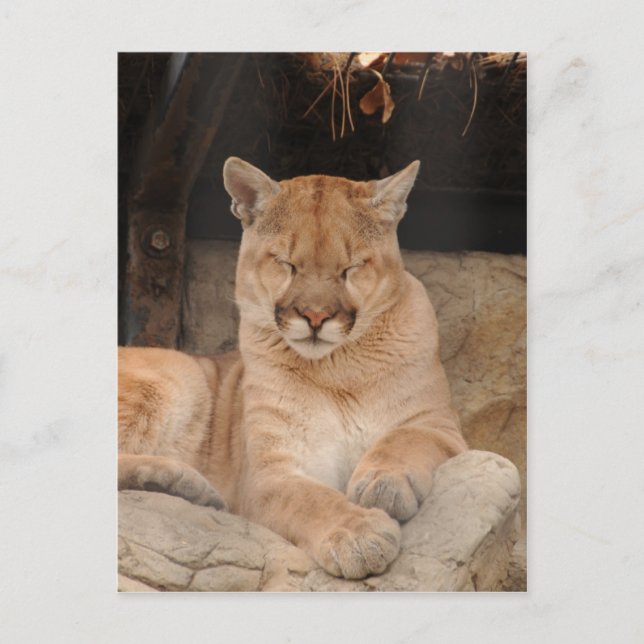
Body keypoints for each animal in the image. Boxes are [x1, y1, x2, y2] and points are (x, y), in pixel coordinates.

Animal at [118, 157, 467, 580]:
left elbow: (405, 439)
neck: (338, 370)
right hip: (173, 378)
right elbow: (310, 499)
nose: (315, 317)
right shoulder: (272, 471)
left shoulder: (440, 425)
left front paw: (382, 483)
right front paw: (359, 535)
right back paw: (184, 481)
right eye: (287, 265)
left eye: (351, 268)